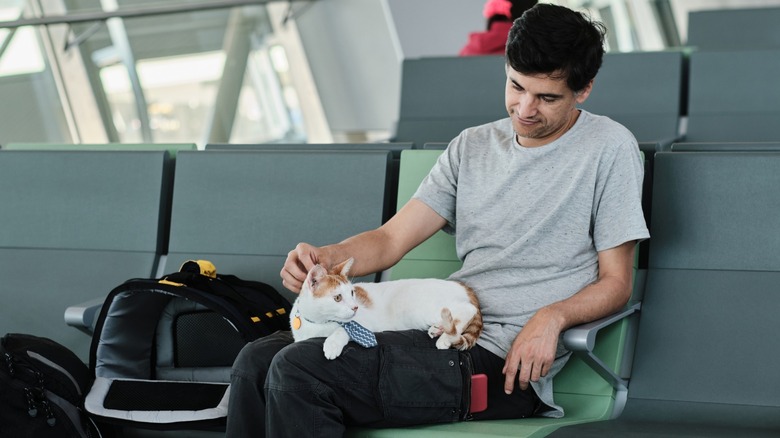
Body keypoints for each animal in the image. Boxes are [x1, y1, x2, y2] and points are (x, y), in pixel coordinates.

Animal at [288, 256, 482, 360]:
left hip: (427, 308)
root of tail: (463, 286)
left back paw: (445, 338)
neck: (320, 324)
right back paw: (438, 329)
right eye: (337, 298)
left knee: (466, 310)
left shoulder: (364, 325)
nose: (355, 307)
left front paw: (332, 344)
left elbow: (344, 330)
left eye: (351, 293)